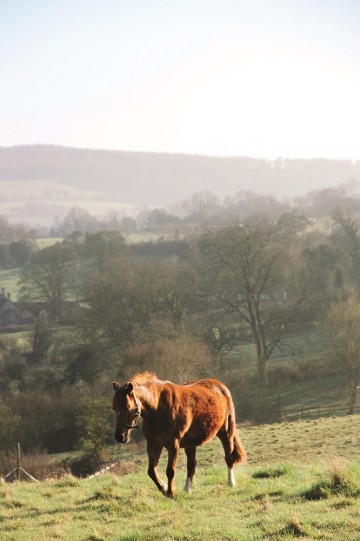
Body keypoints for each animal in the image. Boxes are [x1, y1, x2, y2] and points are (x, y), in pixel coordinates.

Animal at [112, 374, 248, 496]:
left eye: (128, 408)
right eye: (114, 408)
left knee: (229, 458)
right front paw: (163, 487)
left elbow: (170, 470)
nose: (119, 436)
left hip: (226, 433)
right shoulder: (153, 444)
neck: (157, 408)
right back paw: (187, 489)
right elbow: (151, 471)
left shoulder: (173, 444)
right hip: (191, 444)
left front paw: (170, 492)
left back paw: (231, 482)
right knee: (191, 465)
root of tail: (221, 386)